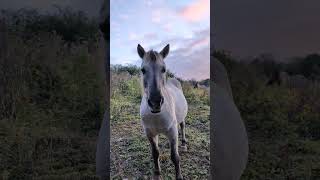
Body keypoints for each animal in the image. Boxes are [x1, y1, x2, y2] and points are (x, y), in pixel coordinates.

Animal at [138, 44, 188, 180]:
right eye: (143, 70)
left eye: (164, 69)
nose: (155, 102)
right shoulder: (150, 133)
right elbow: (155, 153)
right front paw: (157, 172)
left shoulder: (172, 133)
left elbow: (175, 157)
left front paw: (179, 176)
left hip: (181, 120)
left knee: (182, 126)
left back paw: (184, 143)